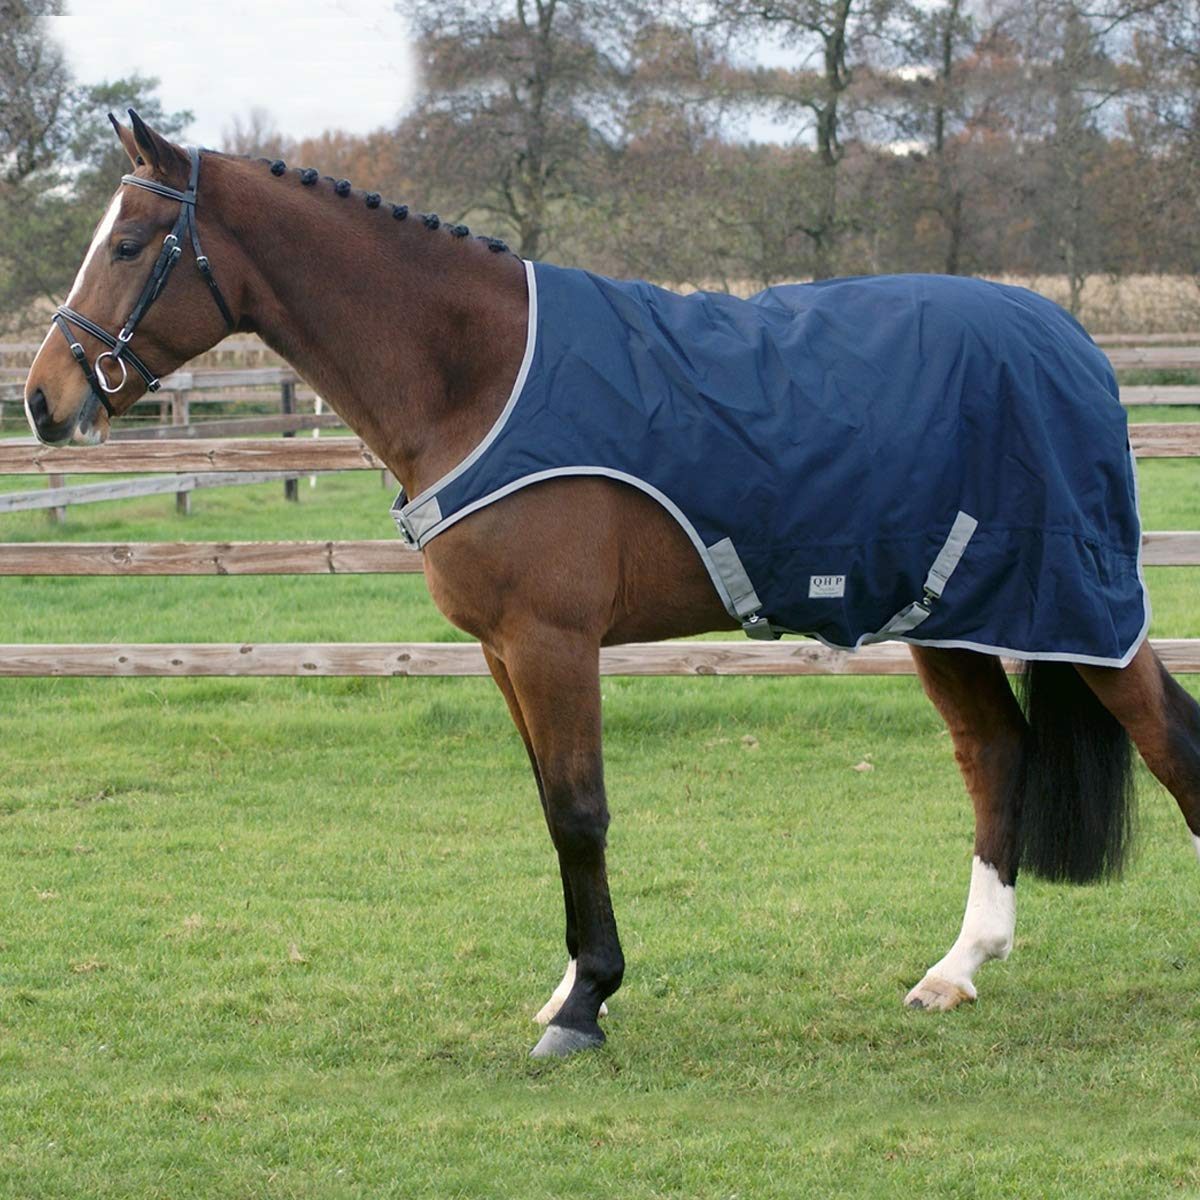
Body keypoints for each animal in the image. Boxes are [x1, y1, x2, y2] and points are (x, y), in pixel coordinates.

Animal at [24, 110, 1200, 1059]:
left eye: (128, 244)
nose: (43, 400)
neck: (479, 375)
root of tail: (1071, 341)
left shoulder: (553, 640)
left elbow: (582, 812)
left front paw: (587, 1007)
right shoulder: (504, 651)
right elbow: (551, 810)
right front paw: (566, 990)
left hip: (1069, 603)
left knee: (1167, 738)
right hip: (948, 615)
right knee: (995, 752)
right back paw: (956, 970)